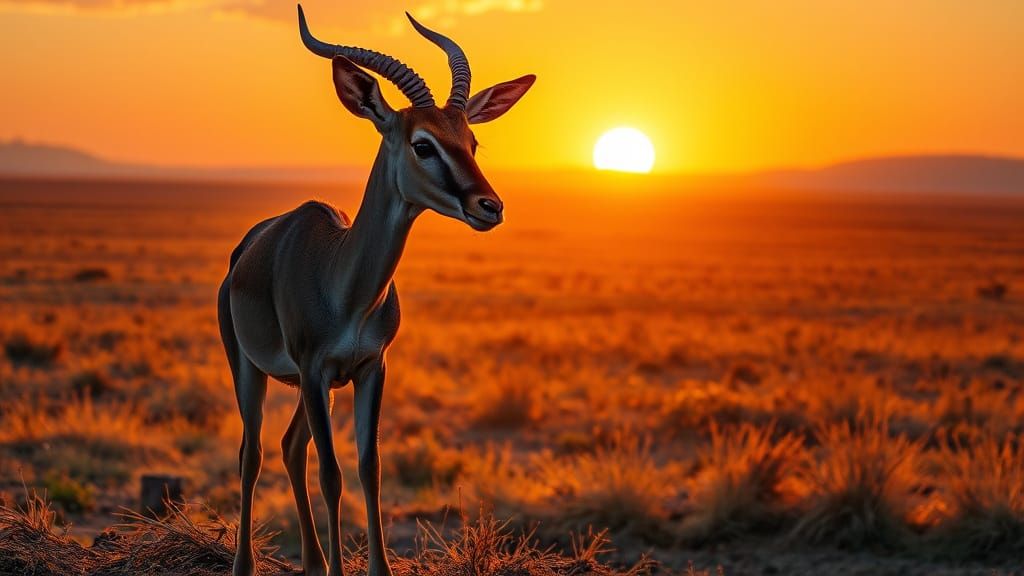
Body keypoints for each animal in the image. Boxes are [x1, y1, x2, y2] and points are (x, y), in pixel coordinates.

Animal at [217, 5, 534, 576]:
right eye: (422, 144)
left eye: (472, 142)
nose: (489, 206)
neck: (346, 286)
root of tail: (245, 251)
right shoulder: (316, 369)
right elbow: (333, 473)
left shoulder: (369, 368)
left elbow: (370, 467)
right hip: (252, 369)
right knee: (252, 453)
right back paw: (245, 565)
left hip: (308, 389)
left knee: (290, 446)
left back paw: (313, 562)